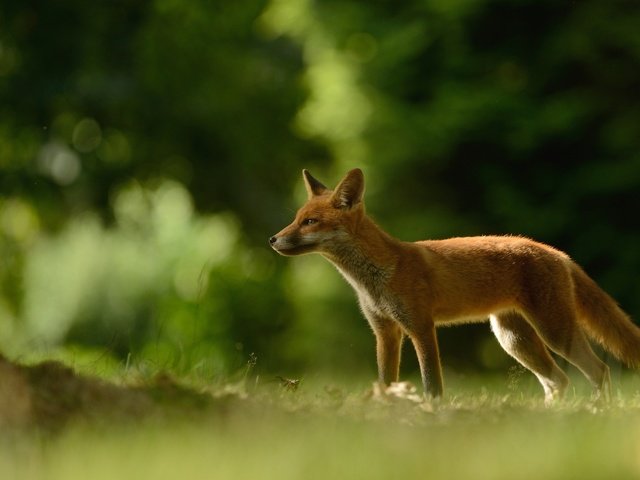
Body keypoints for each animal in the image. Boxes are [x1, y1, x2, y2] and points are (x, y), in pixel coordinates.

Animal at [268, 169, 640, 402]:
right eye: (296, 219)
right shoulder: (385, 332)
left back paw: (597, 413)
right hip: (514, 339)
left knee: (599, 371)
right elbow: (385, 383)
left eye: (310, 222)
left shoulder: (420, 327)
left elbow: (432, 384)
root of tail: (557, 252)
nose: (272, 239)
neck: (374, 277)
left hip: (554, 332)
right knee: (557, 381)